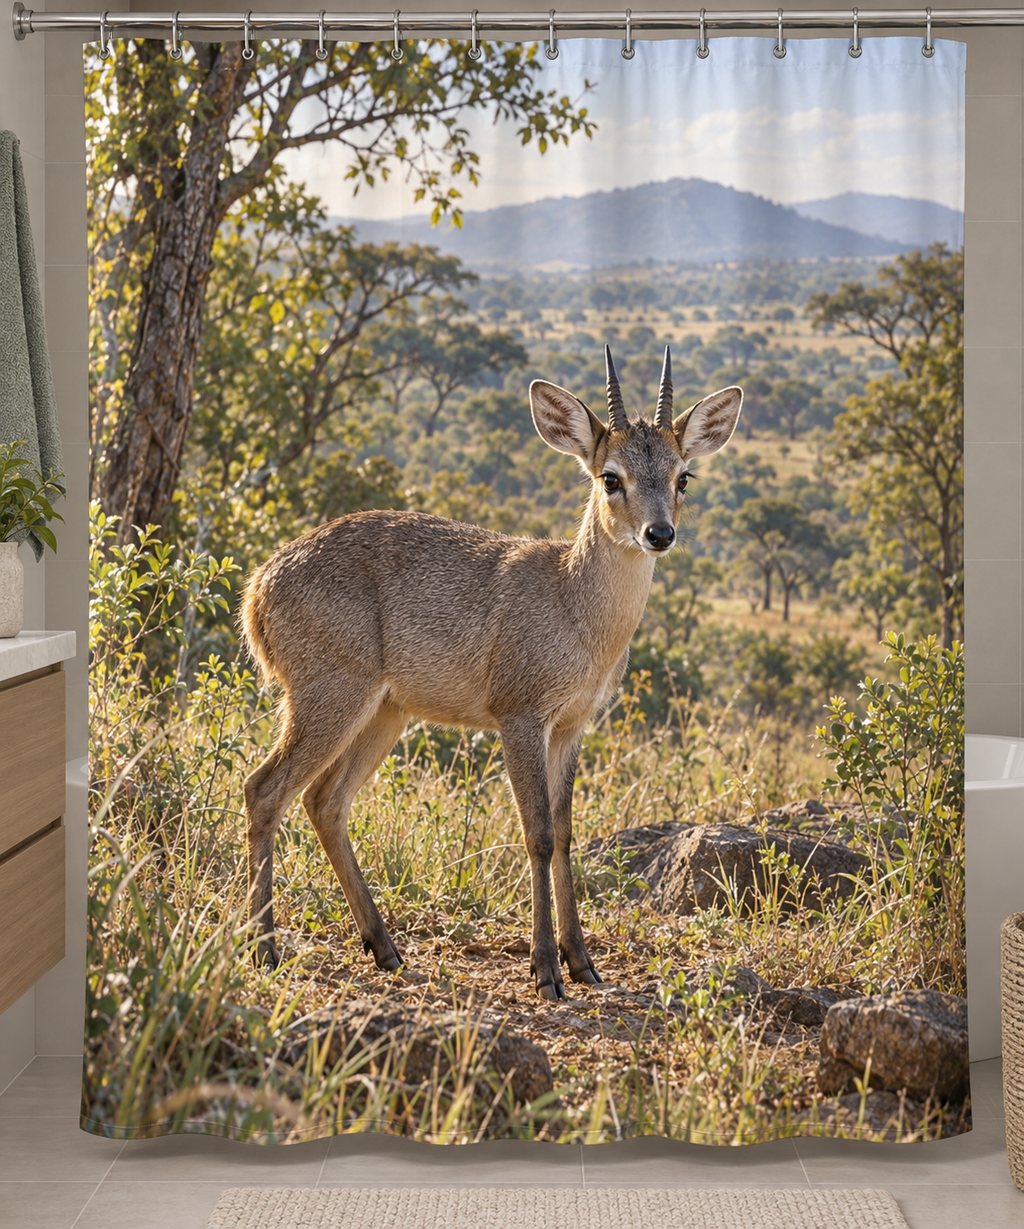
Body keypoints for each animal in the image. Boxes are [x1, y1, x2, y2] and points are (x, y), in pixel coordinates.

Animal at [240, 346, 742, 999]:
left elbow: (567, 832)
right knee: (265, 789)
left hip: (384, 714)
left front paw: (582, 961)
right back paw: (265, 949)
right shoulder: (520, 717)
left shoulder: (571, 727)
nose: (659, 533)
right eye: (610, 476)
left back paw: (386, 949)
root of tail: (259, 587)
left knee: (324, 801)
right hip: (328, 698)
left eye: (683, 476)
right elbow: (538, 834)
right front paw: (545, 969)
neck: (575, 605)